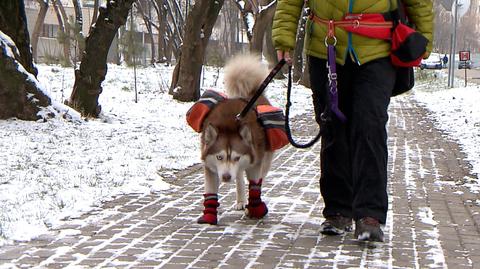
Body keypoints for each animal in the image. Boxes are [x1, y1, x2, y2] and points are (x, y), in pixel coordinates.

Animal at [197, 54, 274, 224]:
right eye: (219, 157)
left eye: (236, 157)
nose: (226, 177)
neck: (229, 125)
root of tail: (252, 93)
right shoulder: (210, 166)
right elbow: (210, 191)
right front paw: (209, 216)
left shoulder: (254, 163)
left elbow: (255, 186)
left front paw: (254, 209)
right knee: (239, 178)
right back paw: (240, 200)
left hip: (264, 160)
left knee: (259, 177)